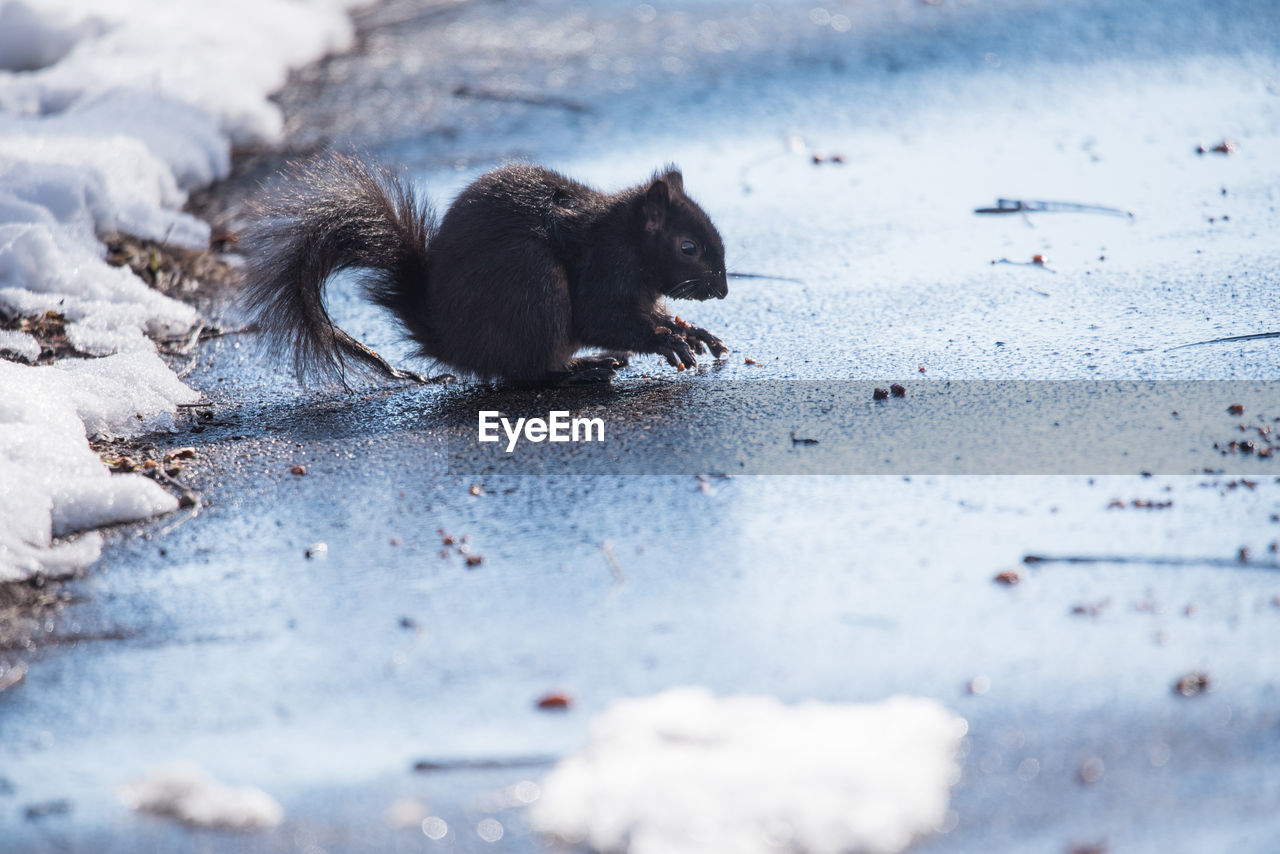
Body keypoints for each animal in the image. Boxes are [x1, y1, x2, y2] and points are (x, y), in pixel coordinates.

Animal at [238, 153, 732, 386]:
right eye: (688, 247)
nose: (724, 290)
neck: (626, 239)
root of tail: (451, 340)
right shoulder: (604, 269)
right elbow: (601, 318)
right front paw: (666, 340)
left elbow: (652, 315)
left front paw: (691, 331)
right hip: (535, 289)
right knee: (529, 372)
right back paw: (581, 369)